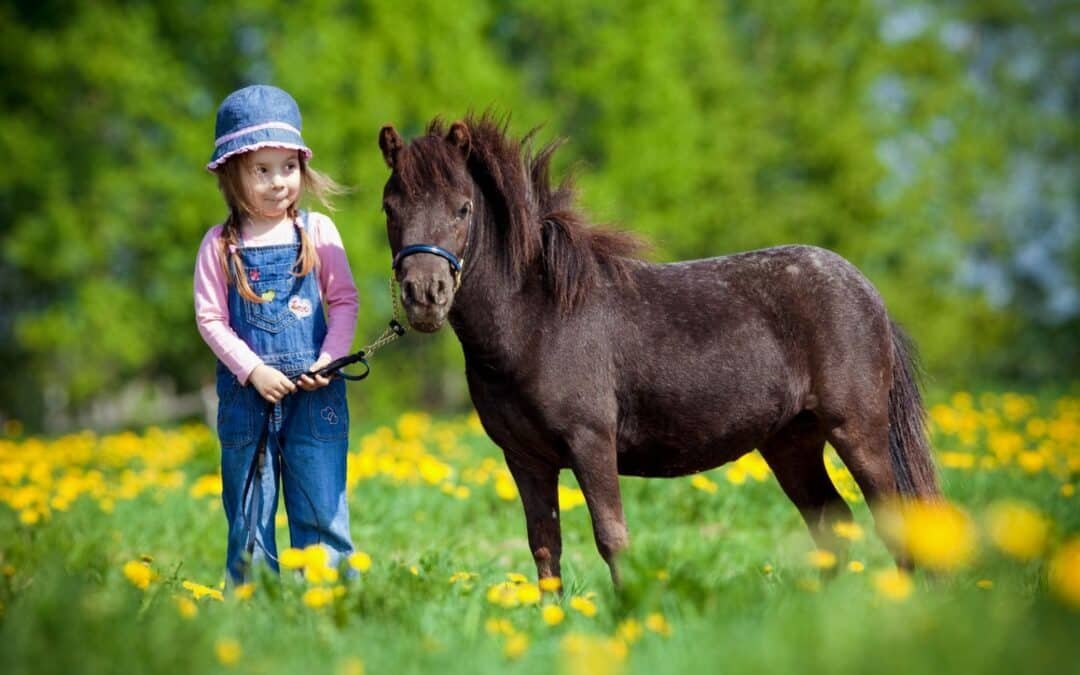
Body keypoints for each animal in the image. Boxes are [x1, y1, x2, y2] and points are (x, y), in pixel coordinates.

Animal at [377, 114, 939, 586]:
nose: (425, 295)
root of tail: (865, 290)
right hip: (791, 442)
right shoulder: (525, 459)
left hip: (857, 431)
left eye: (463, 207)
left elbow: (612, 539)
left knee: (894, 519)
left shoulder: (591, 444)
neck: (537, 320)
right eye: (390, 207)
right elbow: (544, 547)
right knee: (831, 521)